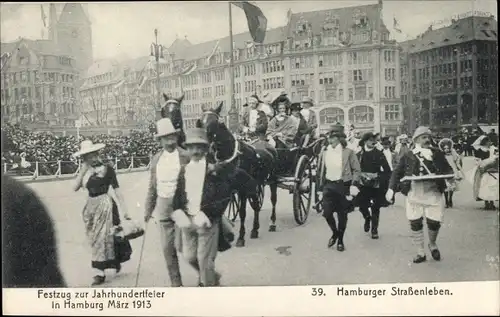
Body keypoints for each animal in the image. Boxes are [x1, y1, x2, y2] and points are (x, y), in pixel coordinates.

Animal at [198, 102, 278, 246]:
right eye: (201, 121)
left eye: (214, 122)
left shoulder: (242, 190)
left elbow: (242, 212)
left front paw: (241, 237)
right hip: (256, 185)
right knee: (256, 204)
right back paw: (255, 229)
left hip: (272, 180)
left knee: (273, 200)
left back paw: (272, 223)